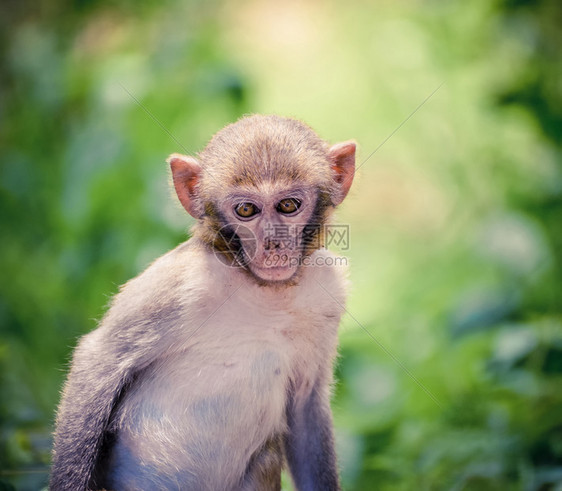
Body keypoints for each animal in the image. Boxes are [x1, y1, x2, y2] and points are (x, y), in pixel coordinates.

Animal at [49, 113, 354, 490]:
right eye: (246, 210)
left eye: (288, 206)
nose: (273, 244)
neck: (264, 289)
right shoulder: (180, 282)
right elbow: (100, 359)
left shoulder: (327, 290)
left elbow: (306, 405)